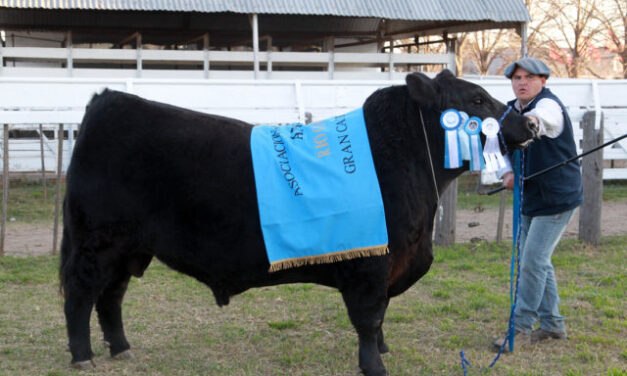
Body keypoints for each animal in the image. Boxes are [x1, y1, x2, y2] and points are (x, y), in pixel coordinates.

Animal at [60, 69, 540, 374]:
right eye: (475, 100)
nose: (530, 124)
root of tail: (108, 100)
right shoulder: (371, 266)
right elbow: (369, 317)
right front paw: (374, 364)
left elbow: (382, 315)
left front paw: (384, 349)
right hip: (96, 242)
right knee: (82, 294)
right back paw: (82, 356)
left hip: (128, 248)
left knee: (112, 297)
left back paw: (121, 350)